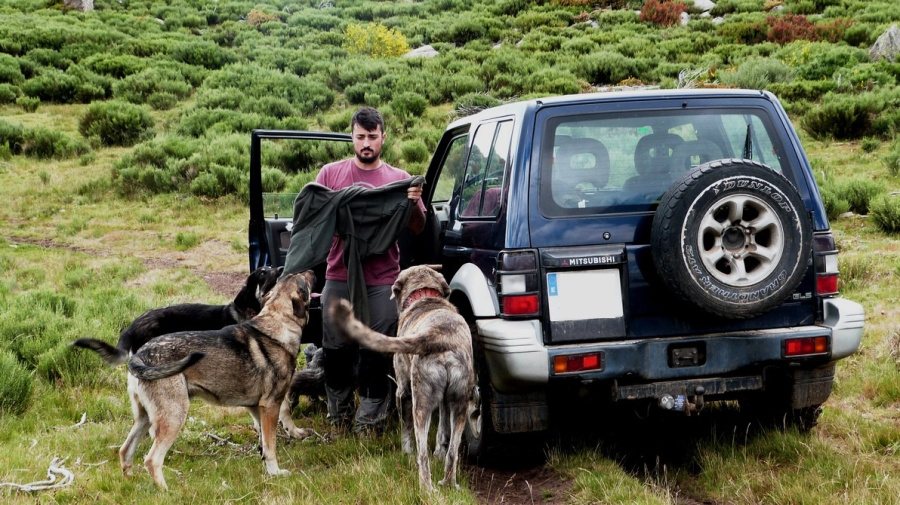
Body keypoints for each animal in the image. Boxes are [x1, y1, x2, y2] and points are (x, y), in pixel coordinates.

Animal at [119, 272, 316, 488]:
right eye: (304, 280)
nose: (313, 272)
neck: (278, 324)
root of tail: (139, 356)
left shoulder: (255, 407)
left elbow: (264, 442)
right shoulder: (271, 405)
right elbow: (272, 443)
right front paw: (275, 473)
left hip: (144, 417)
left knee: (125, 450)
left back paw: (130, 481)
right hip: (174, 416)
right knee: (152, 459)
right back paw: (165, 490)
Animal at [326, 266, 474, 490]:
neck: (425, 297)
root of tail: (439, 337)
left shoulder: (403, 393)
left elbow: (406, 433)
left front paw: (406, 453)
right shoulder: (445, 401)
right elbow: (442, 432)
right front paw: (439, 452)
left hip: (420, 403)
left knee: (422, 455)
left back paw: (426, 489)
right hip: (460, 405)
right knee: (453, 453)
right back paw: (448, 484)